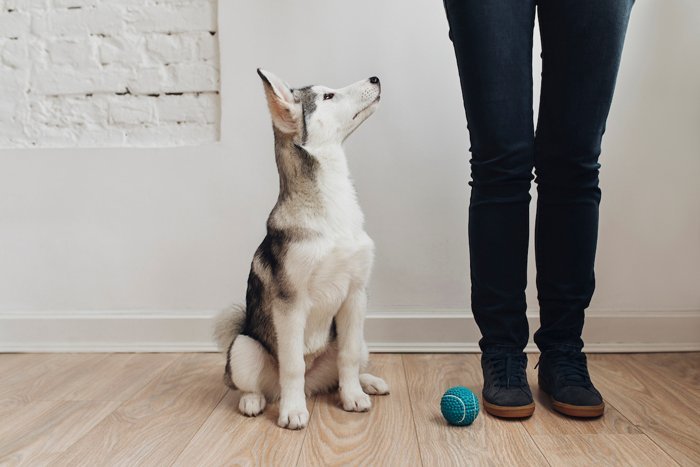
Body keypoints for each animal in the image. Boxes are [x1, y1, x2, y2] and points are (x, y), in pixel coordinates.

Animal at [213, 67, 388, 430]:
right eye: (328, 96)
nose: (376, 79)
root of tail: (313, 385)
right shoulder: (290, 304)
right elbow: (292, 365)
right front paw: (293, 412)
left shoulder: (356, 296)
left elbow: (348, 357)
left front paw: (353, 396)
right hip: (244, 347)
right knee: (255, 384)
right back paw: (254, 401)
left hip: (359, 340)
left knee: (342, 370)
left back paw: (367, 383)